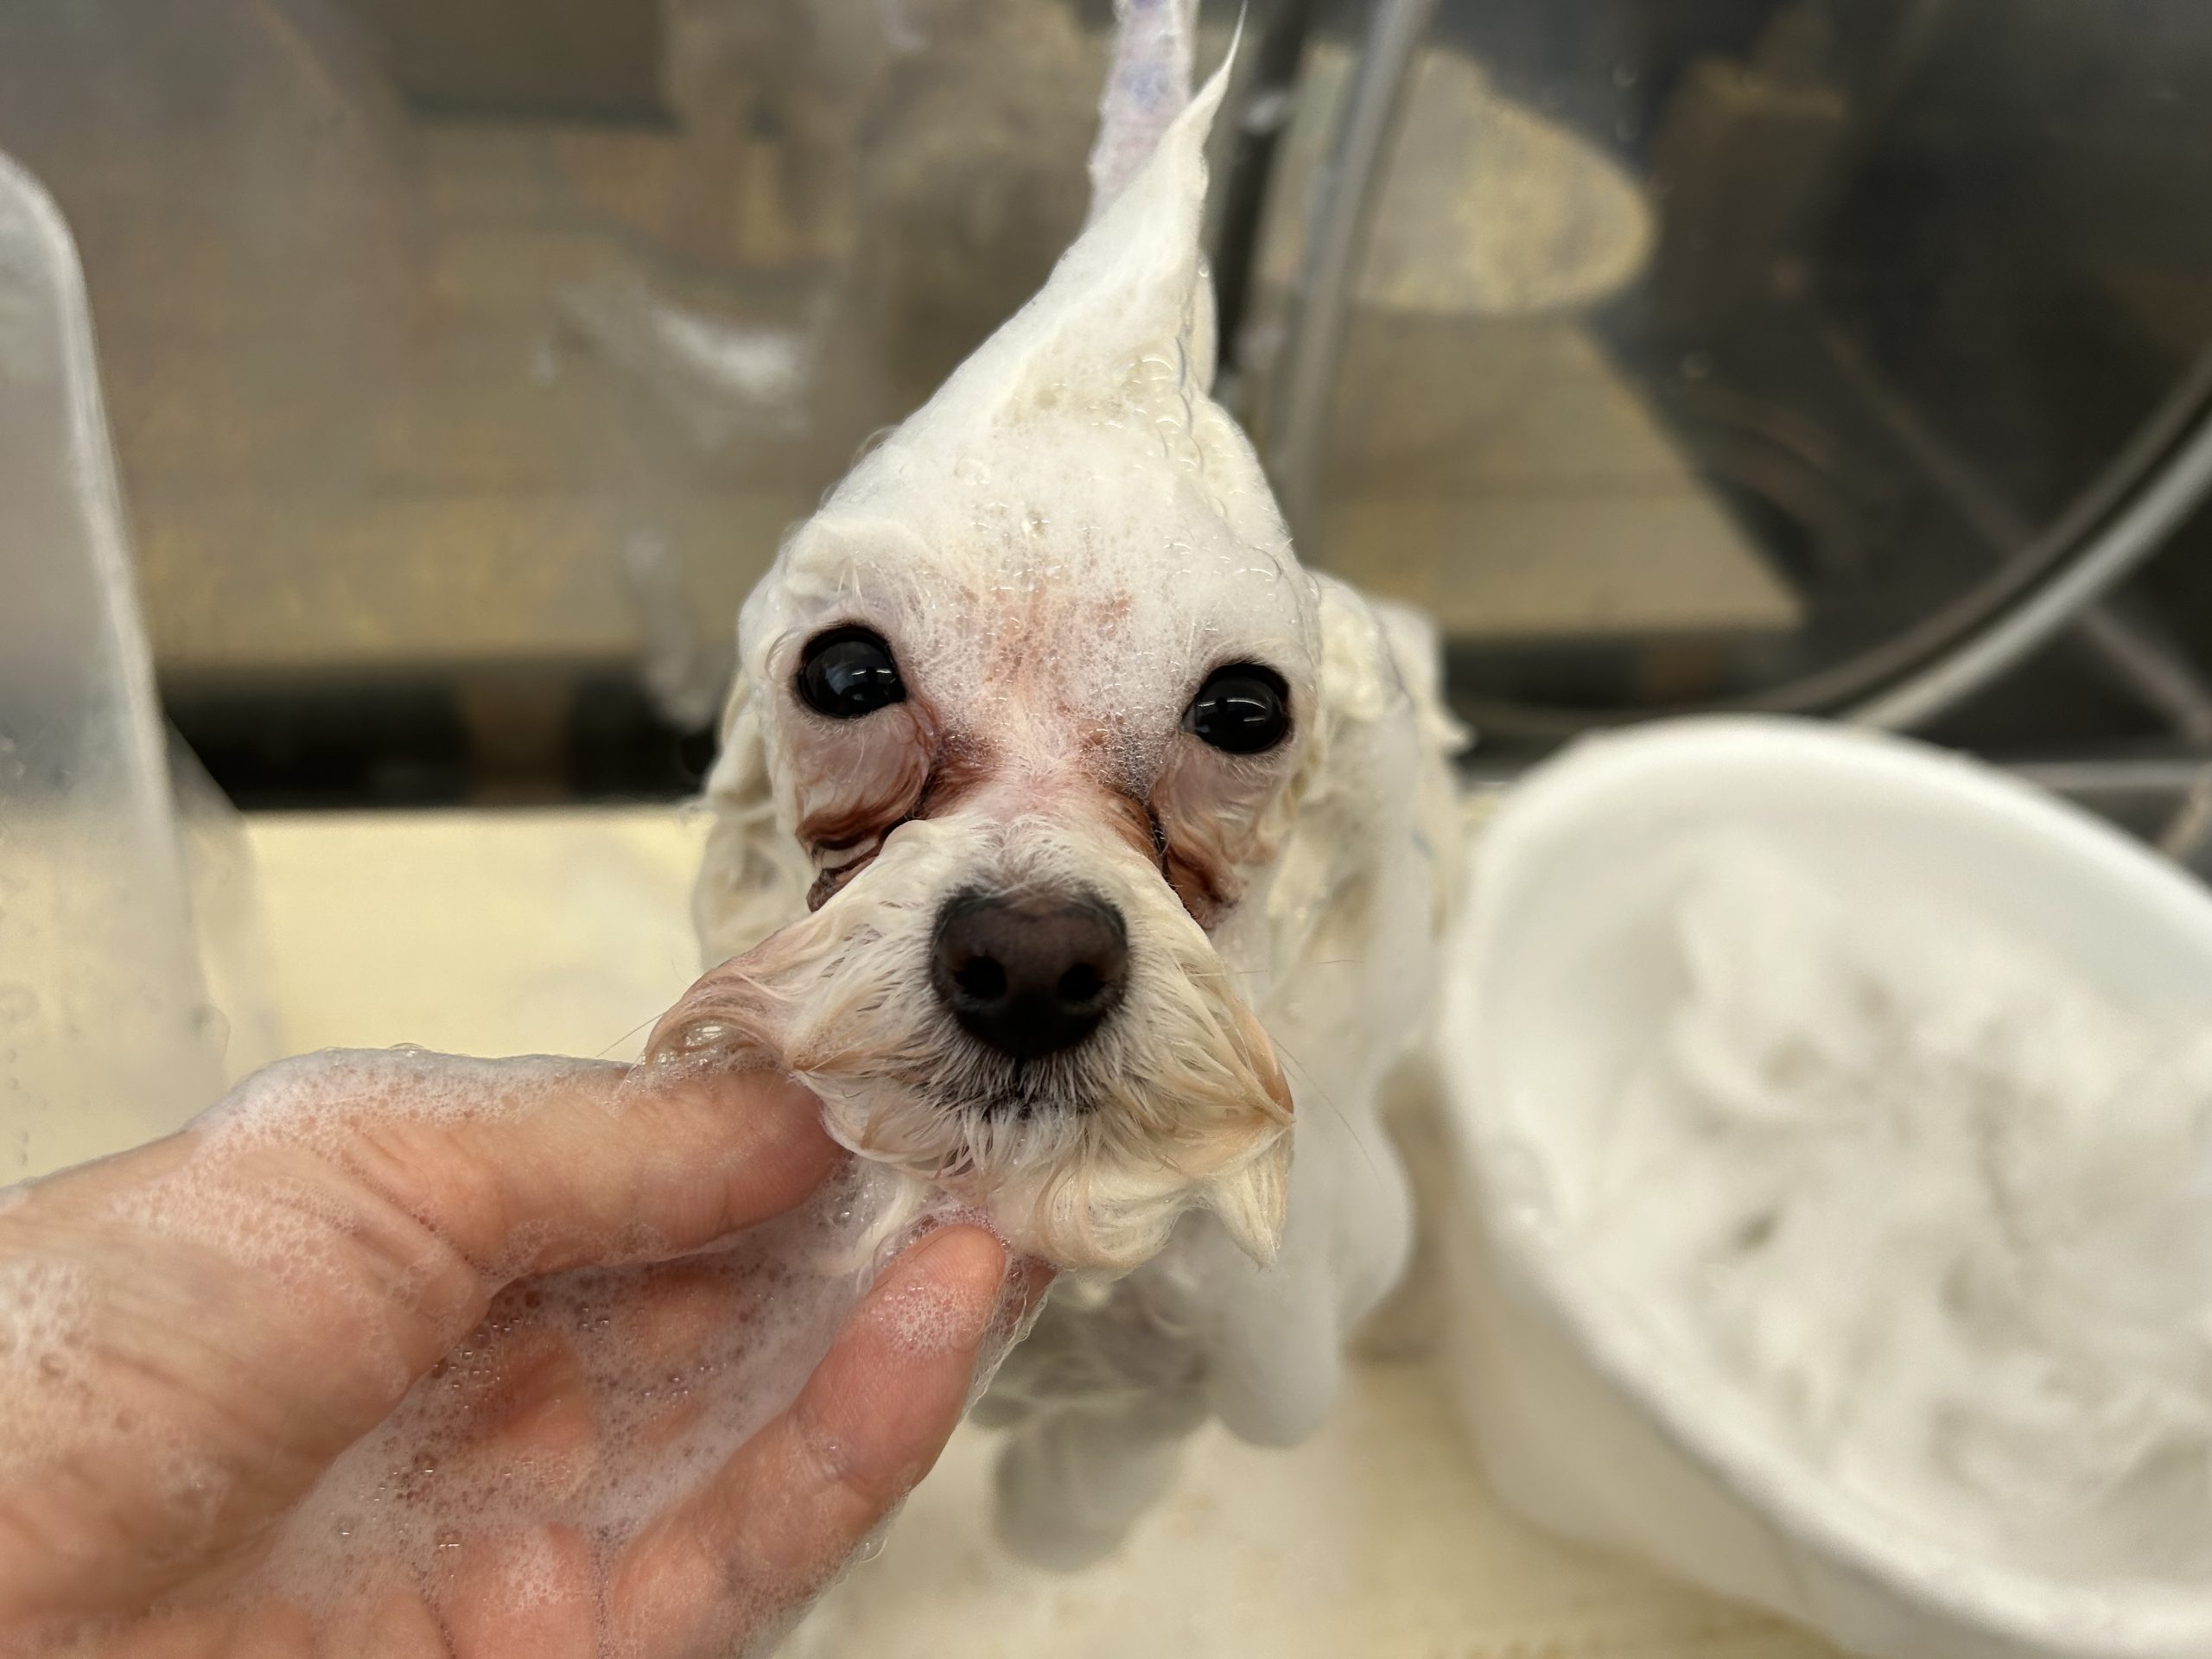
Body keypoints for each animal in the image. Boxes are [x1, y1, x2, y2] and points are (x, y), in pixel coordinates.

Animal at [657, 0, 1462, 1569]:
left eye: (1245, 705)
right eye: (846, 673)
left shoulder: (1218, 1374)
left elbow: (1105, 1480)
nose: (1029, 962)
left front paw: (1044, 1530)